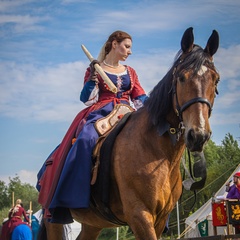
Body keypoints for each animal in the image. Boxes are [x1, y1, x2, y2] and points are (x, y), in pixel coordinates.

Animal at [38, 27, 220, 239]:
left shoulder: (159, 219)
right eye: (182, 77)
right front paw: (93, 74)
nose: (198, 135)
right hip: (54, 220)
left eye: (216, 79)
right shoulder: (139, 215)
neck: (157, 152)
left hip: (92, 223)